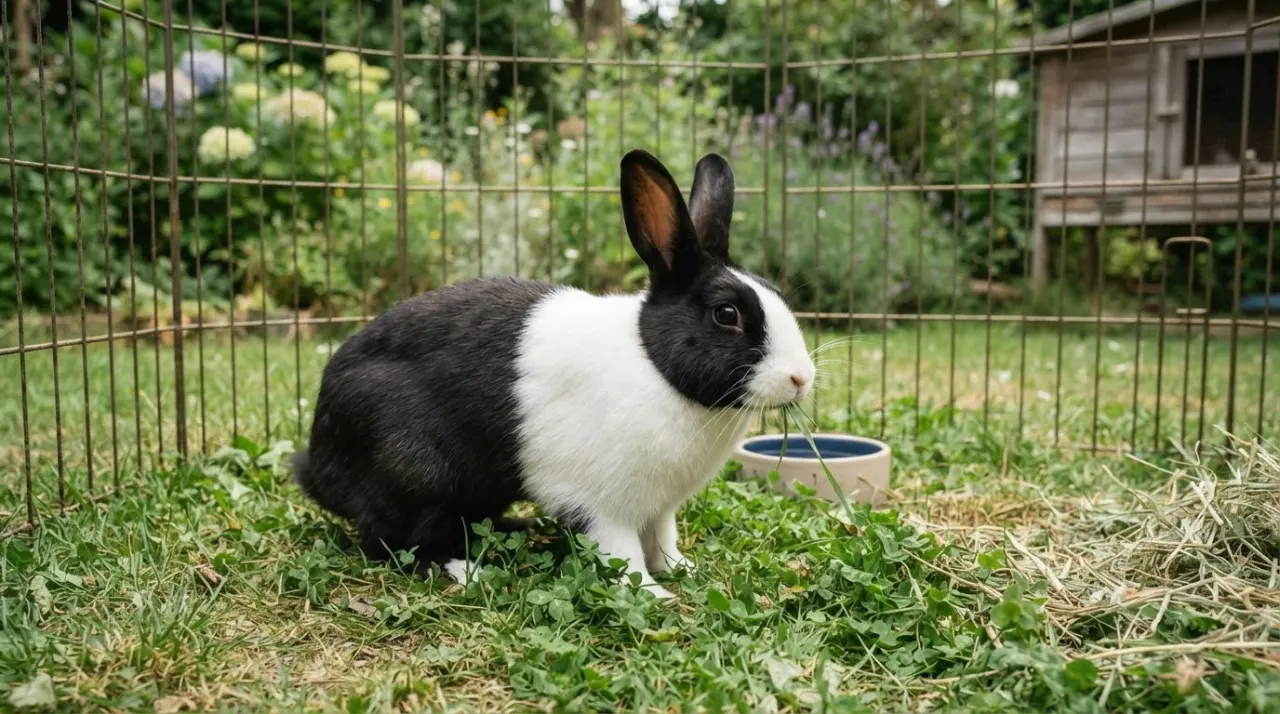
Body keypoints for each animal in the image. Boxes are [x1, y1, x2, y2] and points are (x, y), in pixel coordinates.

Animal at [293, 150, 816, 599]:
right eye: (727, 314)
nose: (801, 378)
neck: (656, 368)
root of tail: (316, 464)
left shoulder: (661, 508)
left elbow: (662, 540)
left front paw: (682, 570)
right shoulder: (604, 506)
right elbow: (624, 555)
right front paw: (653, 594)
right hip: (415, 472)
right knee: (393, 540)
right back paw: (466, 570)